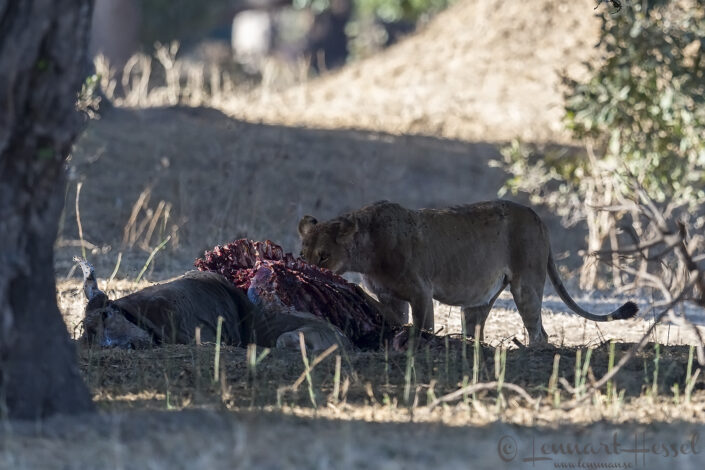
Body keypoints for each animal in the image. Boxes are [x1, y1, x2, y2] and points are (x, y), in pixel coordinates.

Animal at [298, 200, 638, 345]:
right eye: (303, 255)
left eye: (324, 255)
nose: (307, 269)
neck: (367, 252)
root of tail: (538, 218)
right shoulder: (391, 298)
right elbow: (392, 316)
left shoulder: (421, 292)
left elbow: (422, 325)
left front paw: (418, 342)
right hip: (478, 301)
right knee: (477, 328)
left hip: (526, 285)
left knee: (540, 332)